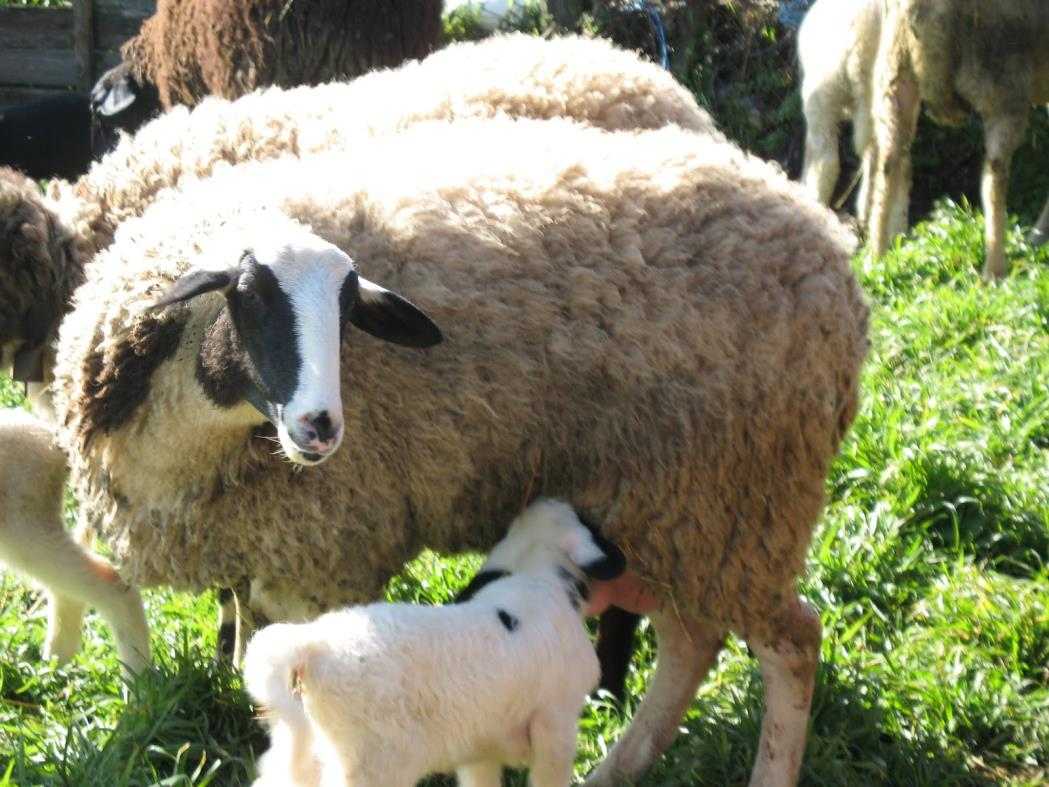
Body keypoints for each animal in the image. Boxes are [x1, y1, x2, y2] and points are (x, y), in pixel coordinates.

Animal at [244, 499, 621, 787]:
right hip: (372, 764)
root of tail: (310, 644)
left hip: (304, 740)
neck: (537, 577)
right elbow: (549, 777)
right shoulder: (556, 724)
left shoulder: (482, 744)